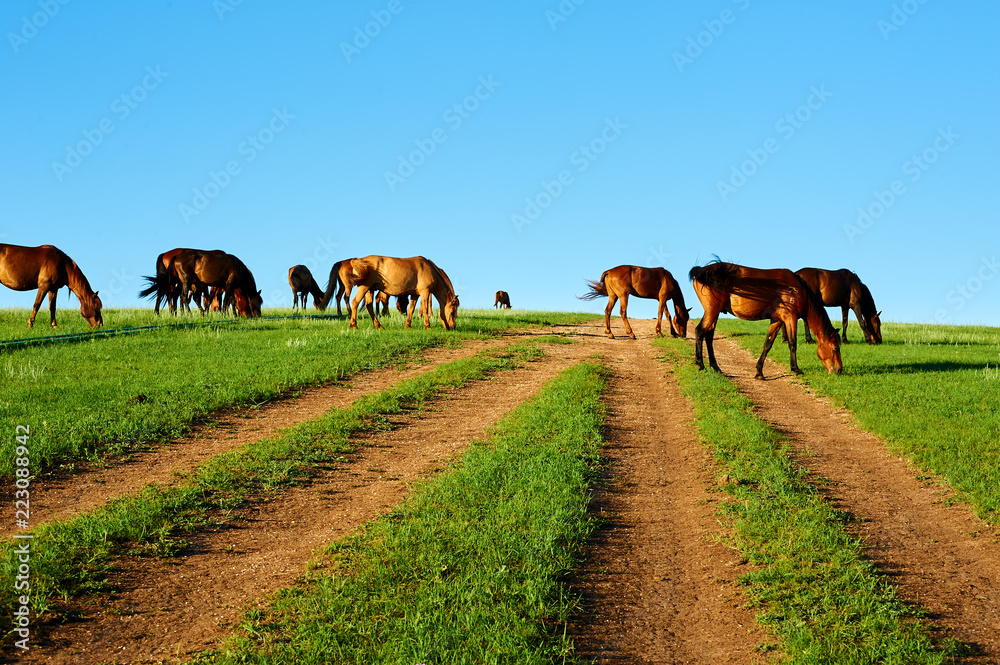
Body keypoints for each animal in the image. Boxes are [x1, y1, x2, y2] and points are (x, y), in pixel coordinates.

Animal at [688, 262, 844, 382]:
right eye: (836, 348)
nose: (839, 370)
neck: (797, 291)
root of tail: (701, 270)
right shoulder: (790, 318)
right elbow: (792, 344)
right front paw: (796, 369)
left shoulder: (777, 320)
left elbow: (767, 344)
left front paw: (759, 372)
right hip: (712, 311)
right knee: (700, 332)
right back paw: (701, 365)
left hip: (714, 314)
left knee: (708, 337)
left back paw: (715, 367)